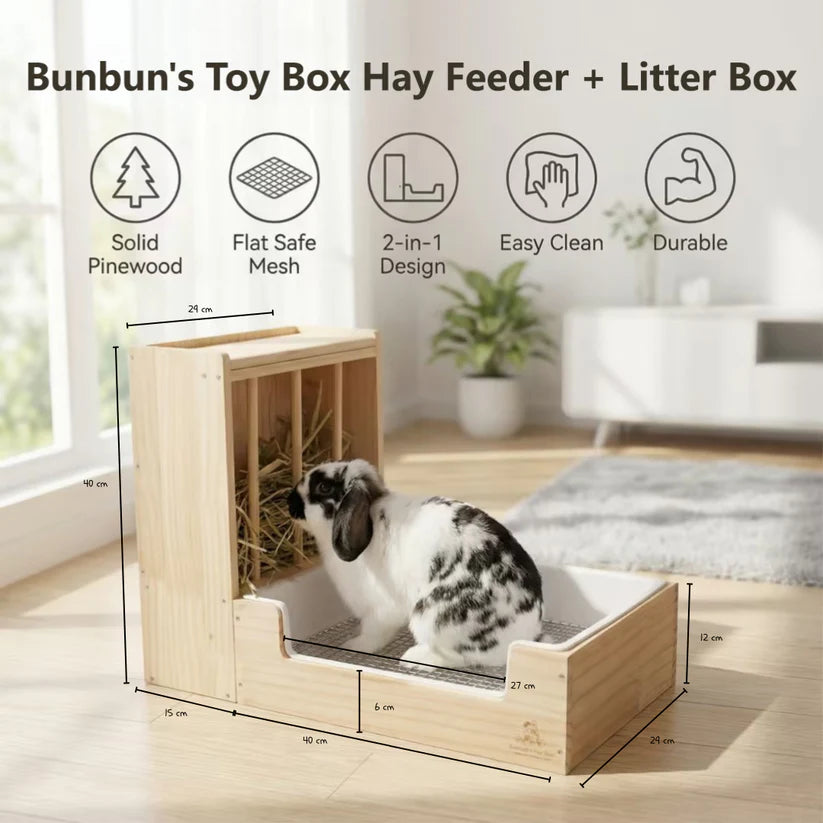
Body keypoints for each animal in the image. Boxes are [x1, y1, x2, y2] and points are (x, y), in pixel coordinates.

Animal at [287, 458, 544, 669]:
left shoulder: (380, 611)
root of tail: (524, 635)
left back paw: (413, 658)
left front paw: (352, 645)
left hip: (430, 616)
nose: (289, 501)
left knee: (457, 657)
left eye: (323, 487)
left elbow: (373, 635)